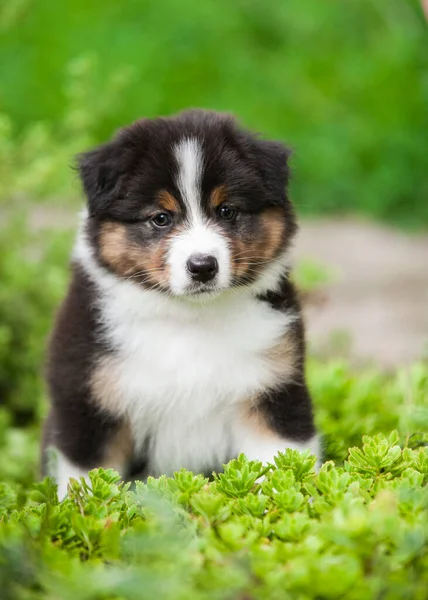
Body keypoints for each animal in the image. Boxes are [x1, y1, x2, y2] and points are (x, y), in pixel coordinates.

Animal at [41, 108, 320, 496]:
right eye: (160, 218)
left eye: (227, 211)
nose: (203, 266)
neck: (189, 317)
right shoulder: (87, 403)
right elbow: (85, 483)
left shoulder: (274, 389)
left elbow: (282, 467)